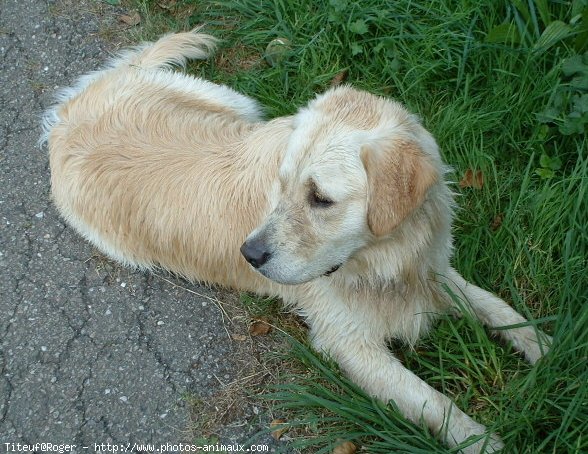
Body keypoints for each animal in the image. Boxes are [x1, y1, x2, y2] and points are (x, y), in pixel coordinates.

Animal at [42, 30, 552, 452]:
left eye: (320, 198)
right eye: (281, 184)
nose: (248, 255)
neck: (386, 260)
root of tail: (66, 115)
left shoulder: (432, 271)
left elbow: (498, 309)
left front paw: (547, 346)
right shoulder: (350, 345)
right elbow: (434, 403)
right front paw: (482, 441)